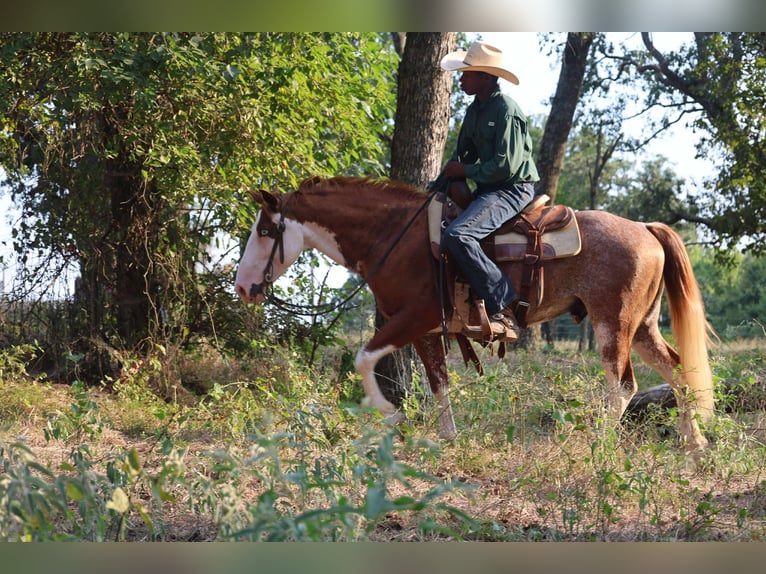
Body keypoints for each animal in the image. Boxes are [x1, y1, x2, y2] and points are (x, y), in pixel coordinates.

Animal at [235, 175, 715, 452]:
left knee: (623, 386)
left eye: (265, 230)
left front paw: (391, 416)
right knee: (677, 371)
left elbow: (364, 358)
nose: (242, 287)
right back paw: (694, 443)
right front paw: (447, 438)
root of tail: (646, 229)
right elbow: (438, 383)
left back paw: (595, 443)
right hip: (642, 327)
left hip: (612, 324)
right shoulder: (428, 329)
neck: (395, 237)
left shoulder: (414, 317)